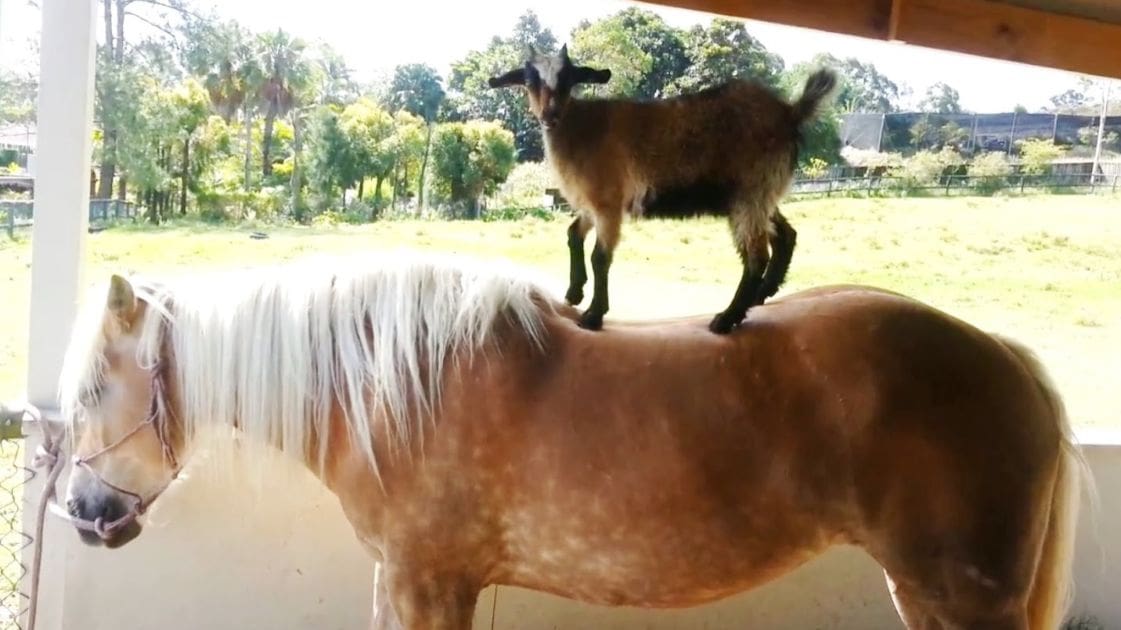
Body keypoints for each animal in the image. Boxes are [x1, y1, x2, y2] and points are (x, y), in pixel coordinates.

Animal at [55, 250, 1086, 630]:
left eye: (98, 388)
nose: (82, 512)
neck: (397, 388)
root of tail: (1002, 355)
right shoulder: (408, 582)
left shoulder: (431, 584)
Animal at [489, 45, 837, 334]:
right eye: (530, 80)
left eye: (568, 78)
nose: (550, 115)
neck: (579, 127)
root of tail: (790, 112)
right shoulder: (591, 205)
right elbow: (573, 235)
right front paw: (574, 293)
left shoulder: (608, 203)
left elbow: (600, 257)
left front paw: (594, 315)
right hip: (761, 194)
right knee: (786, 235)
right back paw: (762, 294)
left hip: (751, 192)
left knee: (755, 256)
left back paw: (727, 319)